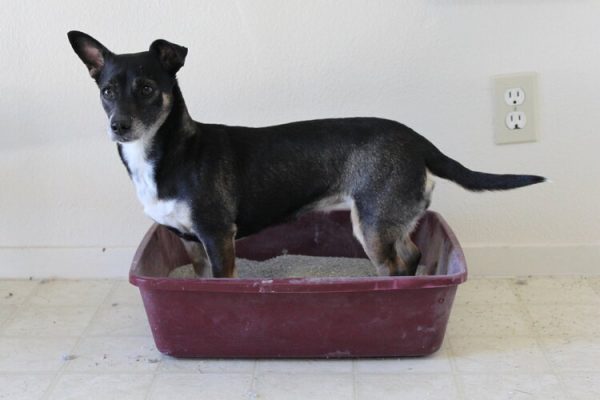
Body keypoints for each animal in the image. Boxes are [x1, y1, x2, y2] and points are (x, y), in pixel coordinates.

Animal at [68, 31, 548, 278]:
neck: (168, 153)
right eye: (107, 91)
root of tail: (418, 139)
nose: (118, 126)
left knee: (396, 264)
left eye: (148, 88)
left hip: (372, 224)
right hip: (390, 219)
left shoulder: (217, 236)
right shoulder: (191, 243)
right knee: (411, 255)